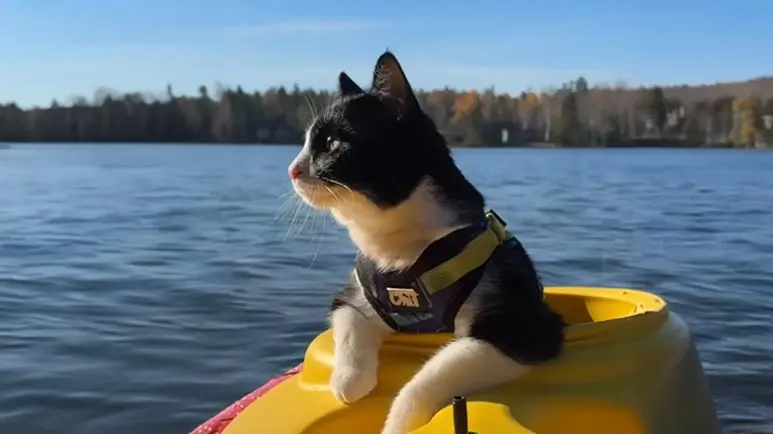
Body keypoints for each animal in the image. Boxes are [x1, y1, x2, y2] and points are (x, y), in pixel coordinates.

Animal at [286, 50, 564, 434]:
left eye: (332, 144)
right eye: (307, 142)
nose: (292, 170)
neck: (400, 249)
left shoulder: (526, 328)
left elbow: (432, 375)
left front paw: (398, 422)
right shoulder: (357, 292)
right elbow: (349, 319)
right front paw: (348, 380)